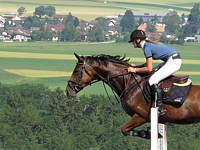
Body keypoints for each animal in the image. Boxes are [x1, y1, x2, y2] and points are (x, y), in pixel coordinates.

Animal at [66, 53, 200, 139]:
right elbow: (125, 130)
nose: (68, 91)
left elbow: (124, 130)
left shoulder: (140, 116)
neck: (130, 83)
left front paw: (145, 133)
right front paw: (149, 133)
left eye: (76, 71)